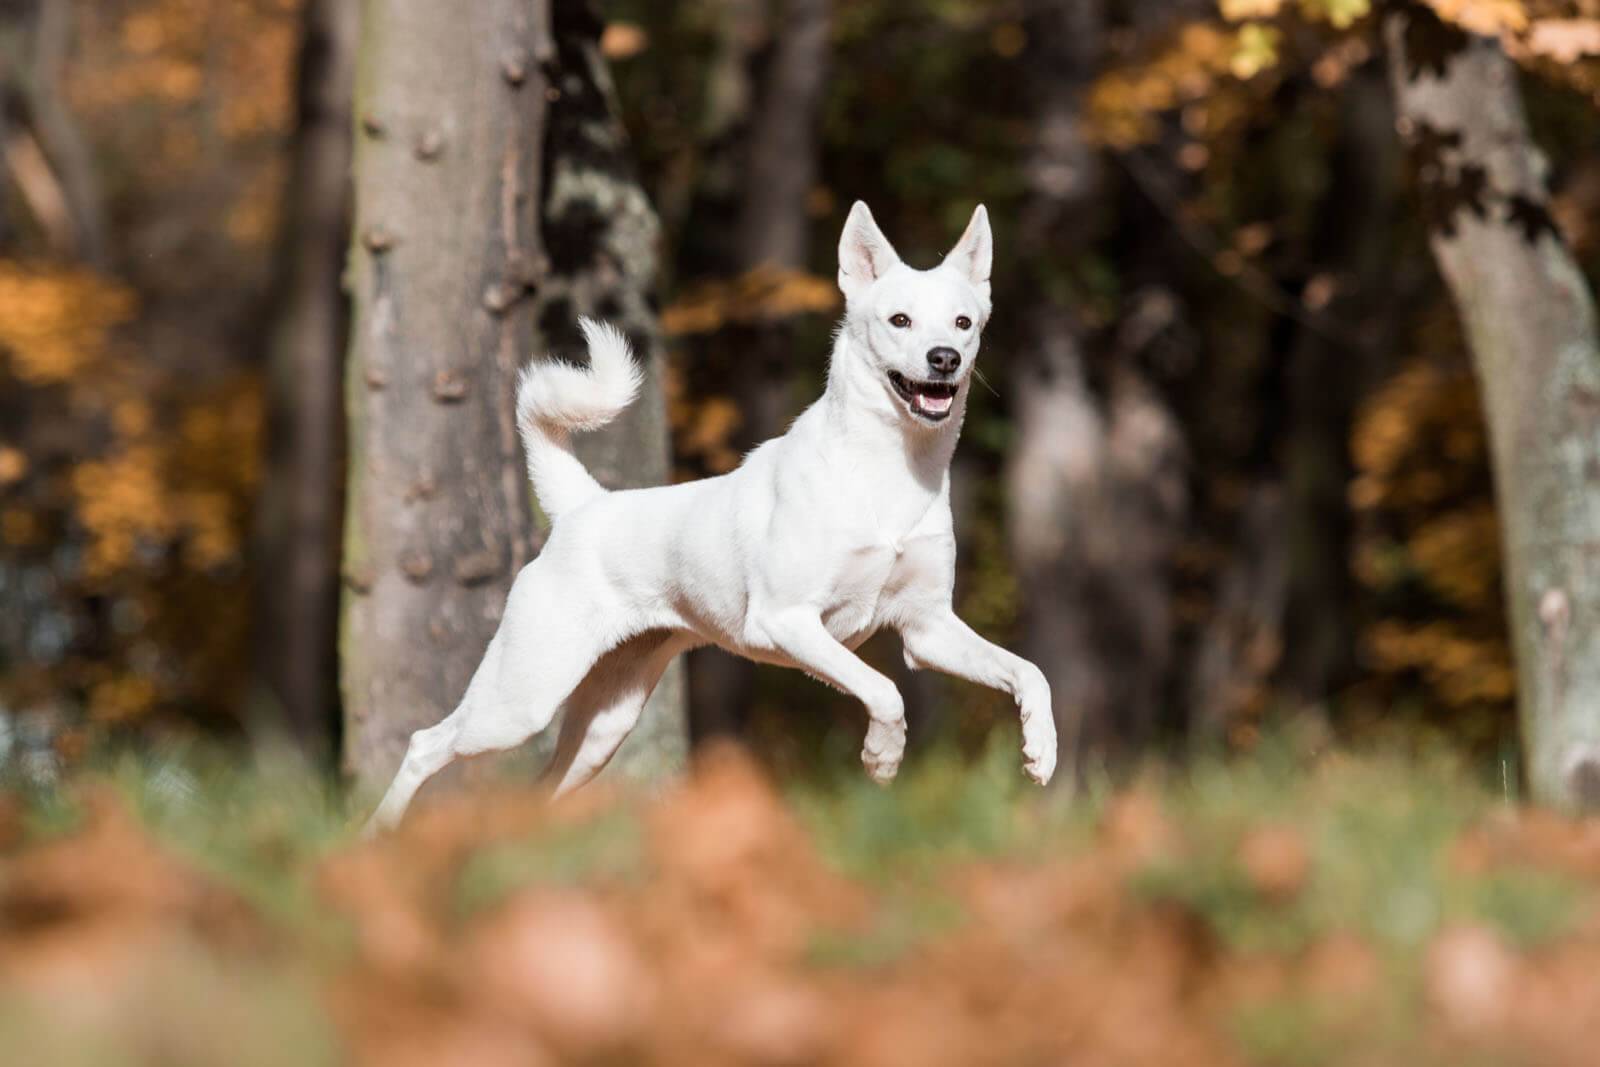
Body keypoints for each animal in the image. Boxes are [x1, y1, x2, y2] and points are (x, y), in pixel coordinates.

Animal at [368, 202, 1056, 831]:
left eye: (964, 322)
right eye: (900, 320)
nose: (944, 358)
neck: (887, 473)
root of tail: (583, 506)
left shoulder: (927, 628)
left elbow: (1030, 672)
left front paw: (1040, 751)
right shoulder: (788, 621)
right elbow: (883, 690)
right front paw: (882, 758)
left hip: (604, 724)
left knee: (541, 787)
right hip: (521, 697)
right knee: (426, 745)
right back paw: (378, 835)